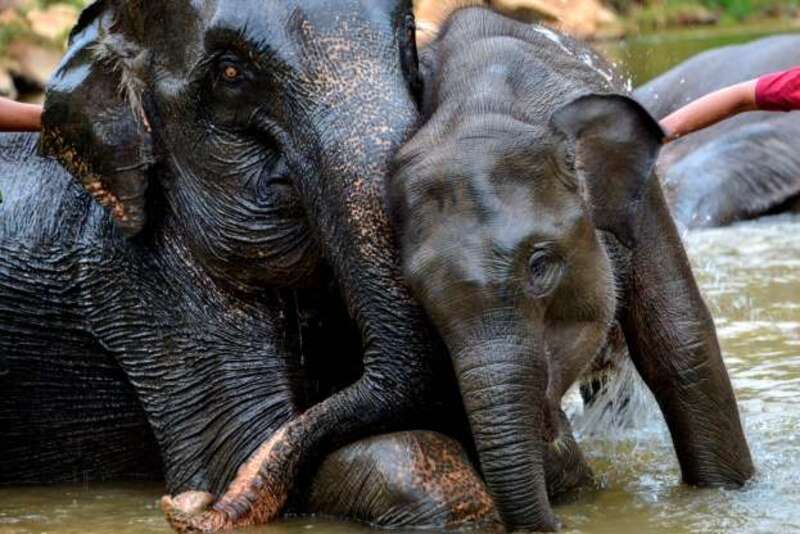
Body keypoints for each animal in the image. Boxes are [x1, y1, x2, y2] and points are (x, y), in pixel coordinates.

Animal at [392, 7, 756, 532]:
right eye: (416, 290)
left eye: (540, 265)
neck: (484, 104)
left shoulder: (641, 196)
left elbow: (679, 339)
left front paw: (724, 499)